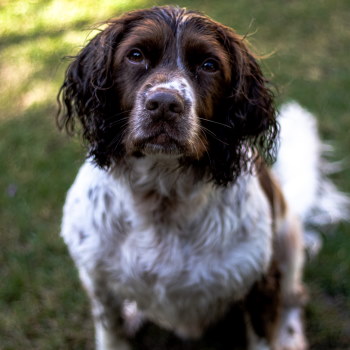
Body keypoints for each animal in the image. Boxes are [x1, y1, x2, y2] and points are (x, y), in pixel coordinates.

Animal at [56, 6, 348, 350]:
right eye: (135, 55)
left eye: (209, 65)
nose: (165, 104)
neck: (162, 195)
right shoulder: (98, 282)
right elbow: (112, 332)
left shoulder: (260, 283)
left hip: (288, 243)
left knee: (294, 299)